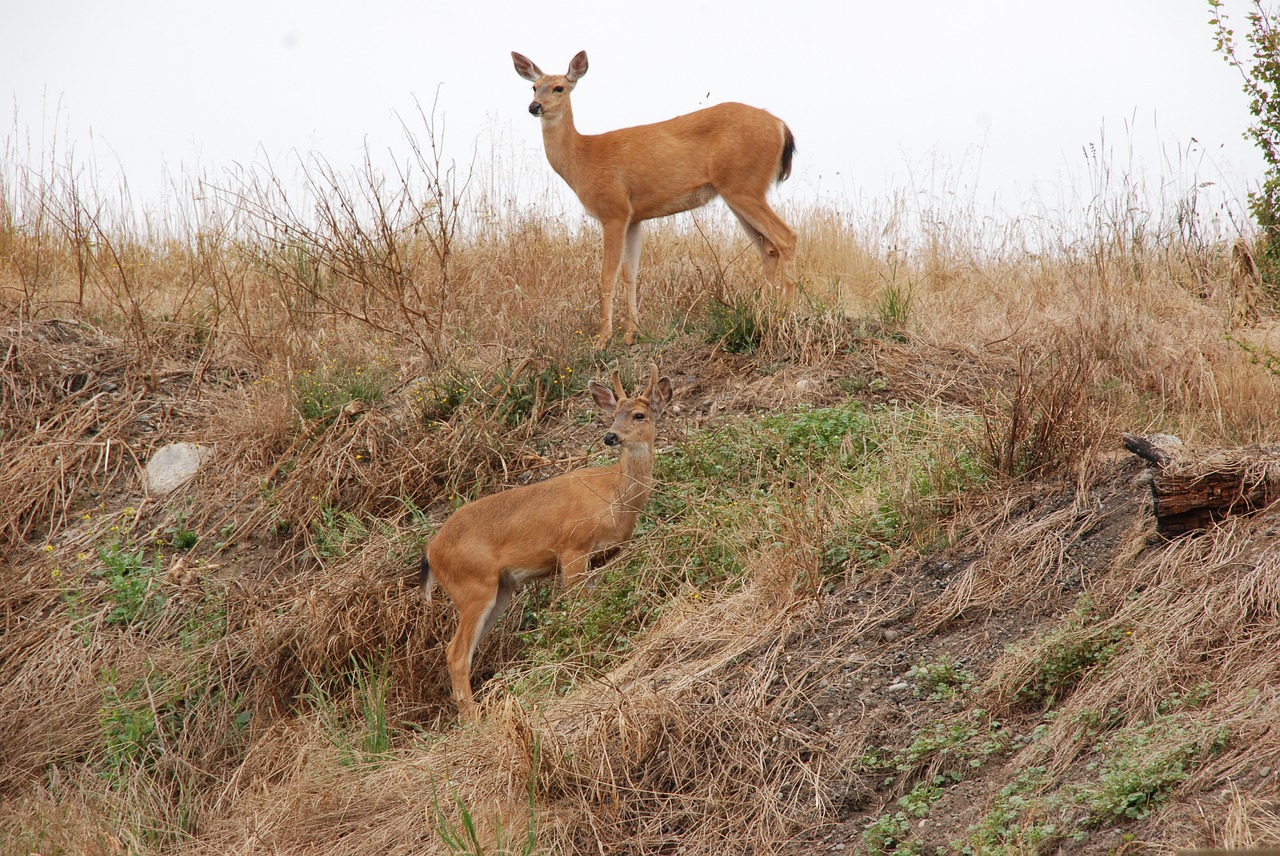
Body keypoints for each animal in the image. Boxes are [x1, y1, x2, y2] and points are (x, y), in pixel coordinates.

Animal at [424, 363, 675, 716]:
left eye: (639, 415)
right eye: (613, 416)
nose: (610, 436)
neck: (614, 498)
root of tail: (431, 551)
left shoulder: (606, 554)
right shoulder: (572, 548)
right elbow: (581, 607)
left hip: (500, 590)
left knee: (460, 650)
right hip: (473, 585)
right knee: (456, 652)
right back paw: (473, 718)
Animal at [512, 49, 793, 348]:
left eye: (559, 87)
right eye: (533, 87)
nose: (534, 106)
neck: (583, 158)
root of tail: (781, 126)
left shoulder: (613, 210)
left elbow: (607, 276)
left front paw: (603, 339)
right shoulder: (634, 218)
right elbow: (630, 274)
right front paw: (630, 333)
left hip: (743, 186)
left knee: (787, 237)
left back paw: (786, 313)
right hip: (738, 193)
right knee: (768, 249)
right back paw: (765, 311)